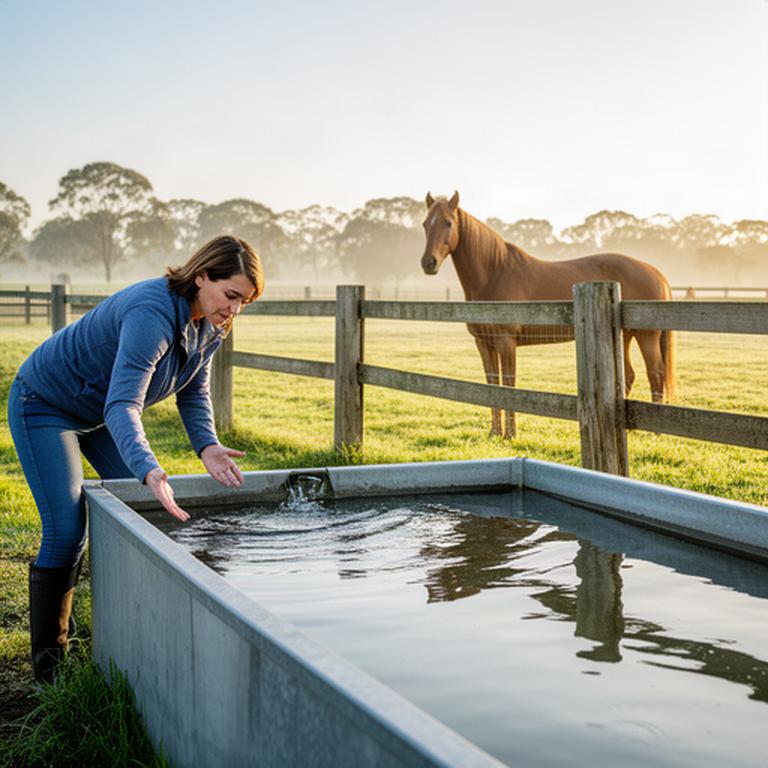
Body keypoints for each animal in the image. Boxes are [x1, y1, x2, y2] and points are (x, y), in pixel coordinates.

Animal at [421, 191, 675, 438]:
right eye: (425, 224)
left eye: (448, 223)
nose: (428, 263)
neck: (495, 272)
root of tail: (656, 273)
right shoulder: (484, 344)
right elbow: (491, 385)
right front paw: (495, 432)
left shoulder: (506, 343)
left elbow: (509, 384)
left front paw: (510, 435)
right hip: (625, 337)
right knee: (630, 375)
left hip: (646, 336)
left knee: (656, 374)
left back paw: (655, 432)